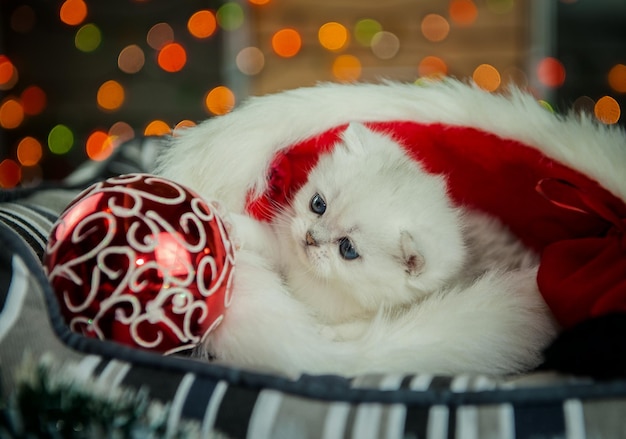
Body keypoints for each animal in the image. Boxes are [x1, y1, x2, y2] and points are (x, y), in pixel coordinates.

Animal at [195, 122, 556, 376]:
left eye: (348, 249)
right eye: (317, 204)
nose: (311, 238)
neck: (323, 284)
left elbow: (360, 329)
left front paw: (323, 333)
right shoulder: (288, 249)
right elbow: (264, 237)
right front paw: (225, 220)